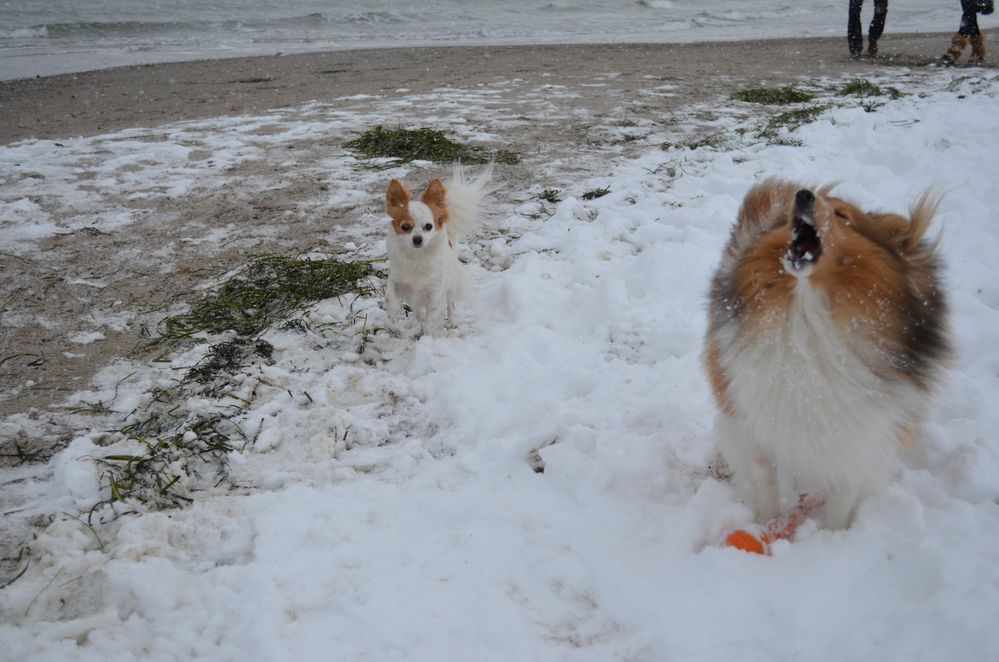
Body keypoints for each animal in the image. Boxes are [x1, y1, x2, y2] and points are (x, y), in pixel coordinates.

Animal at [382, 161, 492, 338]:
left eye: (429, 226)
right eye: (405, 227)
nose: (417, 239)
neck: (417, 256)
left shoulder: (434, 293)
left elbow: (430, 319)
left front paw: (427, 337)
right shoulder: (397, 283)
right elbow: (391, 301)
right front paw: (395, 327)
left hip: (450, 285)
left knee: (450, 305)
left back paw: (452, 323)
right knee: (417, 311)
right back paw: (411, 323)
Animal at [704, 179, 952, 532]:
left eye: (842, 214)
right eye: (791, 213)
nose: (803, 195)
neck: (810, 311)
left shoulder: (862, 434)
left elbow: (844, 492)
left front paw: (834, 535)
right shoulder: (753, 403)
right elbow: (763, 476)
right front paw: (765, 524)